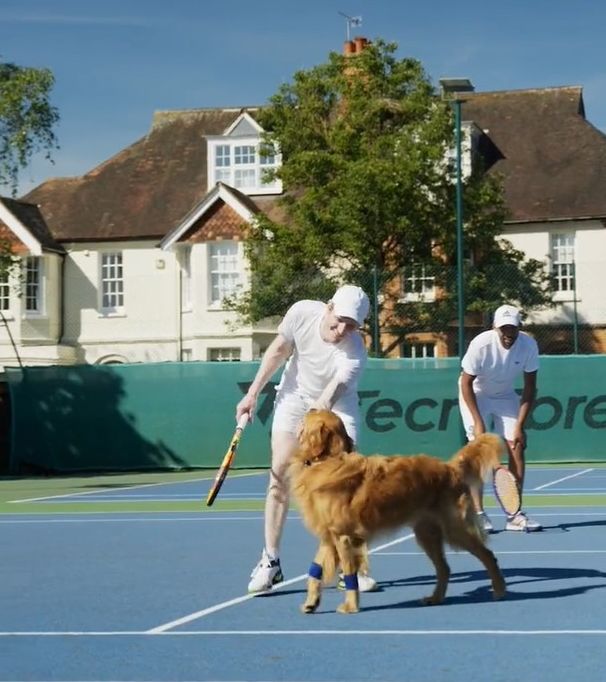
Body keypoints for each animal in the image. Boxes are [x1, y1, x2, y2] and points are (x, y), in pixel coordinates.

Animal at [290, 410, 508, 612]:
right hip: (427, 534)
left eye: (314, 414)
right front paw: (311, 602)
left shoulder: (345, 537)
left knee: (488, 555)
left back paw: (499, 590)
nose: (310, 408)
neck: (329, 460)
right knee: (444, 569)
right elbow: (314, 571)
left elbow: (351, 575)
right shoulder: (329, 537)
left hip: (455, 530)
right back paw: (435, 598)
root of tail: (451, 467)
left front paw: (351, 606)